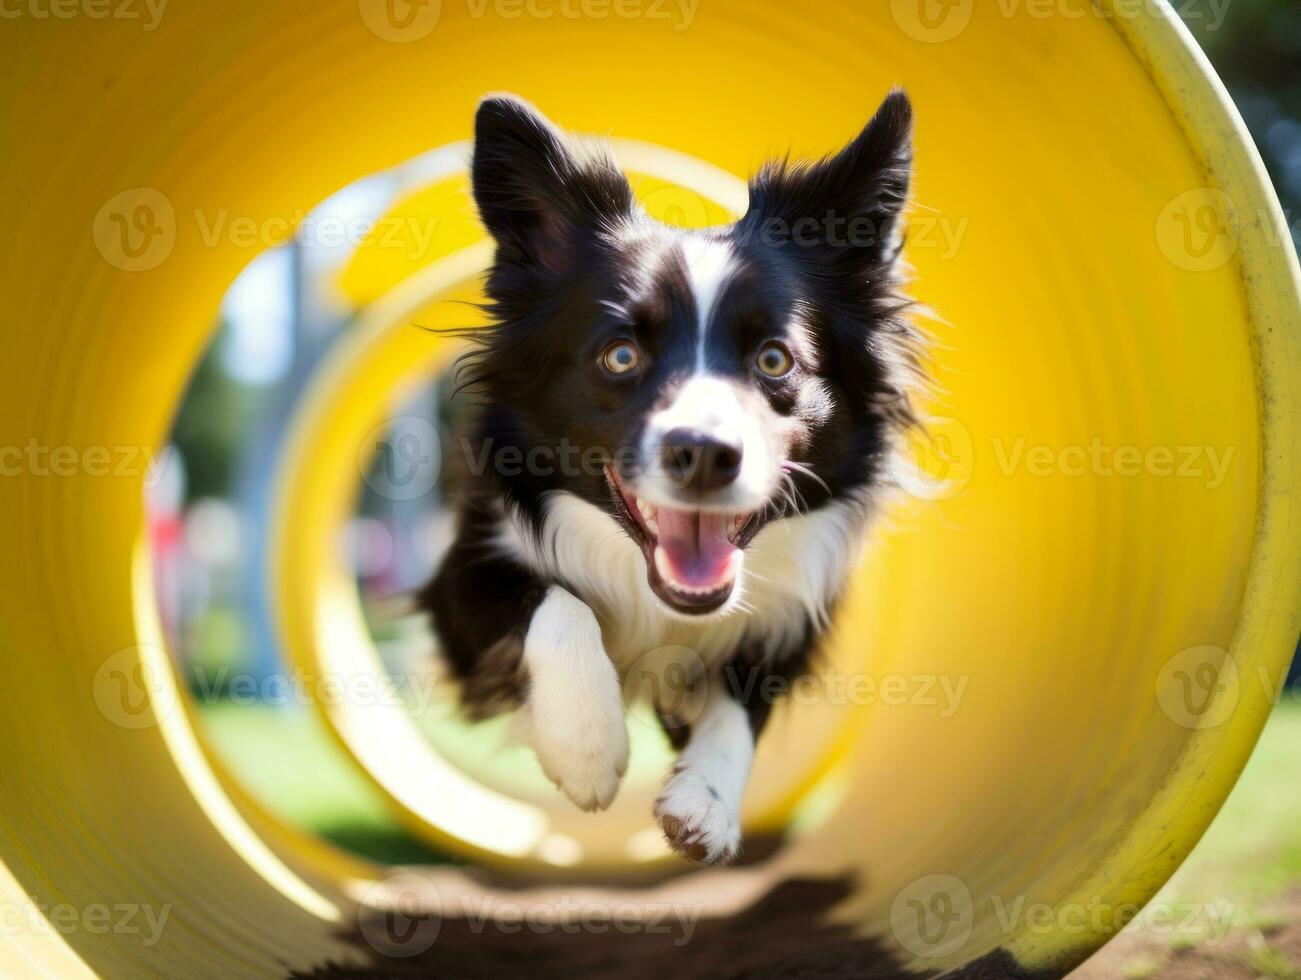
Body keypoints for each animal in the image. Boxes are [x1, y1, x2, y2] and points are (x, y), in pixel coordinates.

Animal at [421, 89, 921, 853]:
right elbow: (553, 601)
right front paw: (585, 747)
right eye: (620, 355)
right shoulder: (458, 585)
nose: (705, 452)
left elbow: (741, 703)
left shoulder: (789, 622)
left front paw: (705, 800)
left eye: (774, 359)